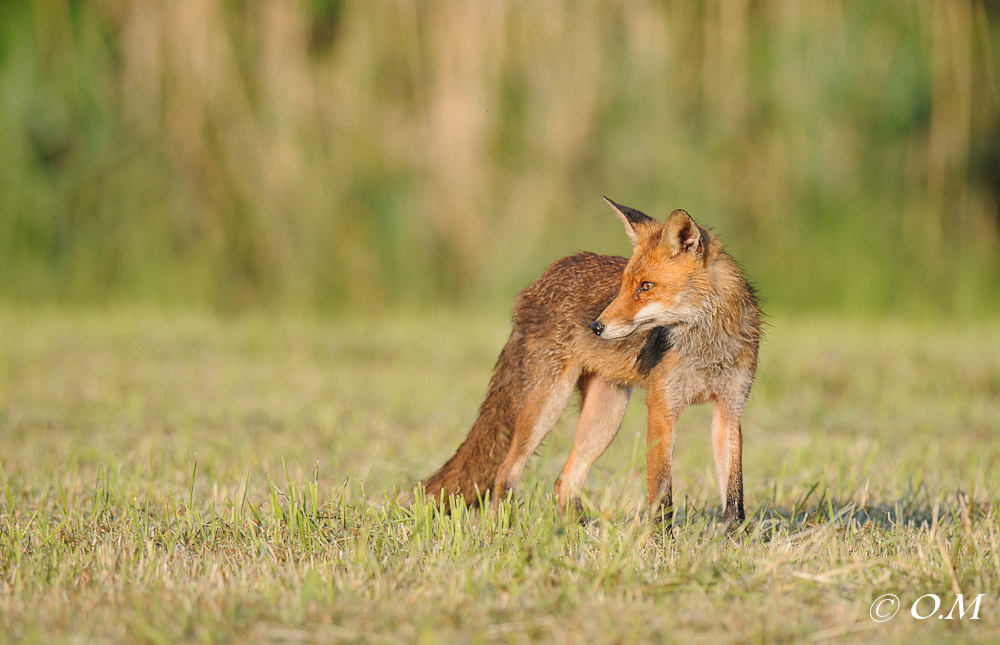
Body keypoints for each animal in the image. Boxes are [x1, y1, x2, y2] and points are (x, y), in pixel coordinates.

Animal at [405, 198, 762, 526]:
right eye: (623, 285)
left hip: (605, 416)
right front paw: (661, 544)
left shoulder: (730, 410)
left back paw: (573, 534)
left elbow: (734, 497)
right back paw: (500, 532)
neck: (707, 350)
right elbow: (662, 495)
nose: (596, 326)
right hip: (547, 405)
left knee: (565, 481)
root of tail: (546, 274)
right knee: (506, 472)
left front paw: (733, 542)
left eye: (646, 286)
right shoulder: (662, 408)